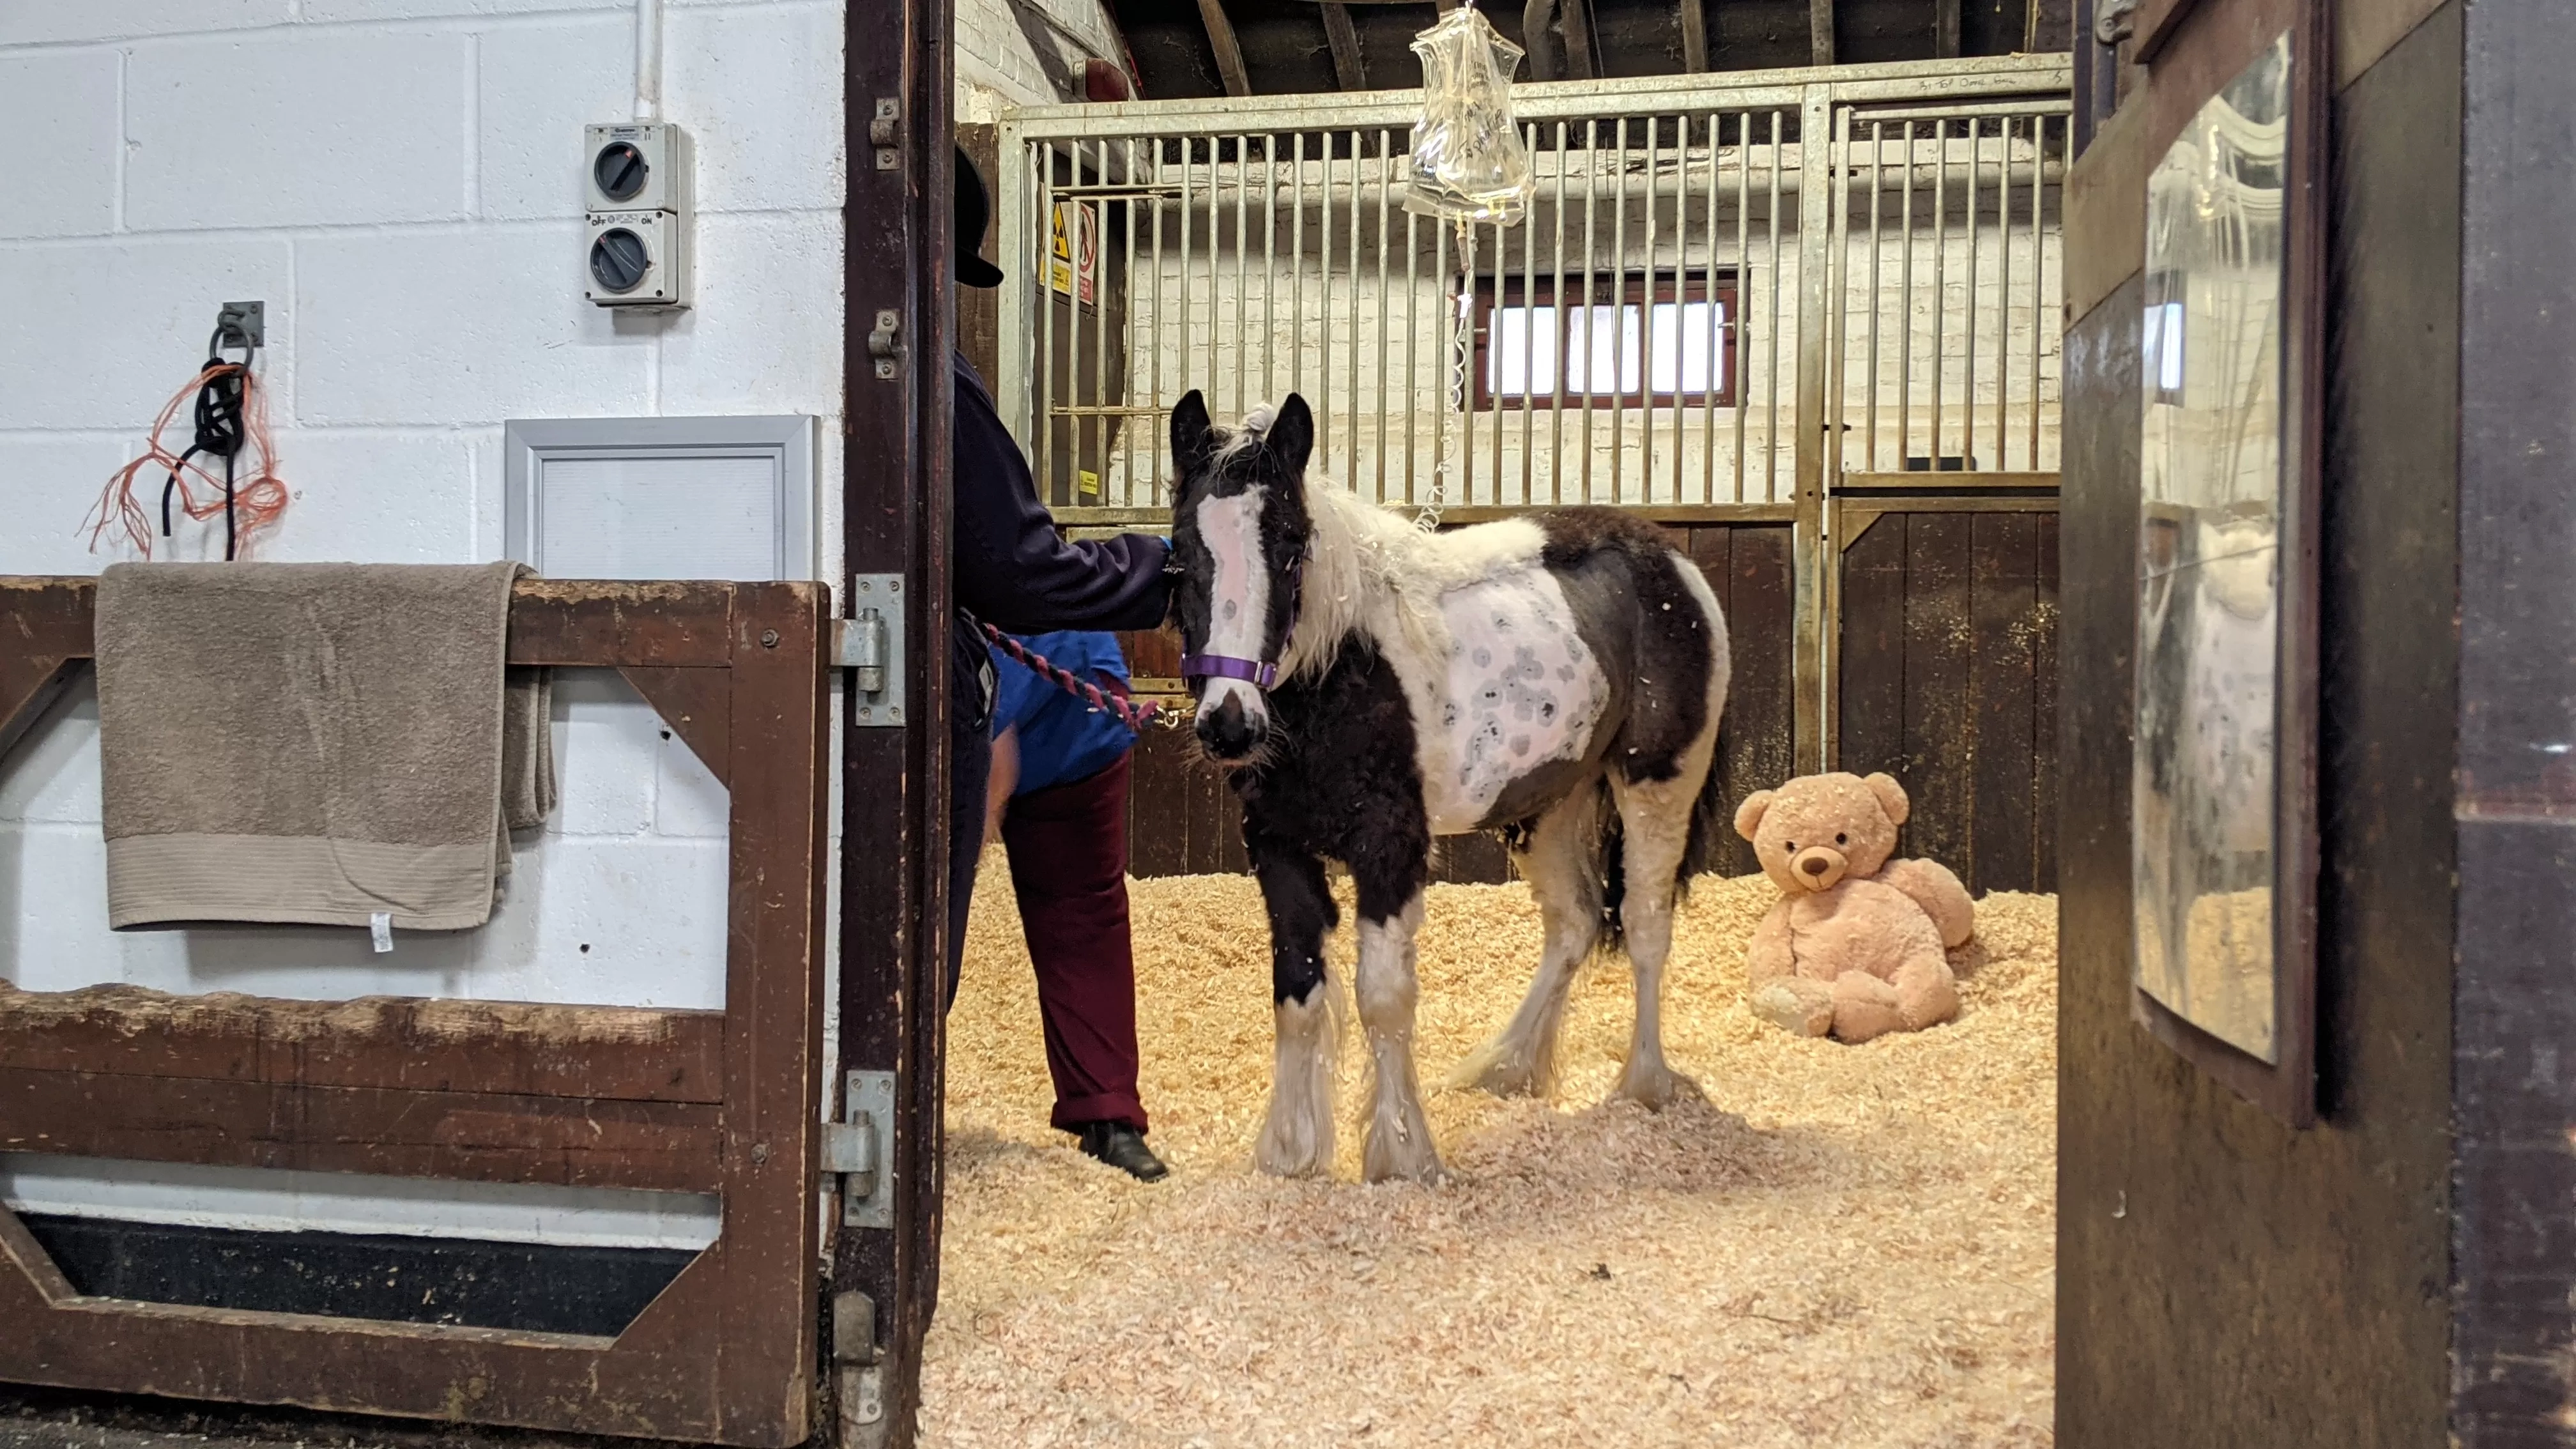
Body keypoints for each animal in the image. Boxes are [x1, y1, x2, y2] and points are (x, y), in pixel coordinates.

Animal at [1165, 388, 1733, 1183]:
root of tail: (1675, 565)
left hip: (1658, 784)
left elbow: (1383, 998)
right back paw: (1506, 1068)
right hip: (1547, 805)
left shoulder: (1390, 849)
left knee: (1645, 926)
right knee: (1576, 920)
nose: (1229, 724)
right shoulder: (1278, 848)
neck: (1343, 668)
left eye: (1291, 546)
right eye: (1181, 554)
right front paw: (1289, 1153)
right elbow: (1299, 994)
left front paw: (1402, 1154)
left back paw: (1645, 1086)